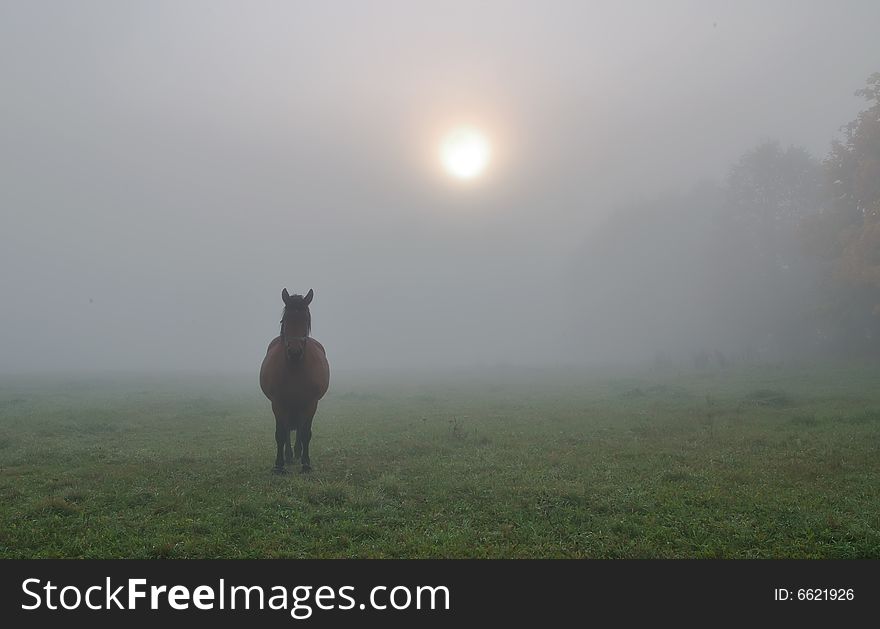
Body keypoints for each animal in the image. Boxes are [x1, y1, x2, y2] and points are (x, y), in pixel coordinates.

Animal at [262, 288, 334, 472]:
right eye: (285, 319)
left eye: (306, 320)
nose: (294, 351)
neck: (294, 368)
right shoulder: (278, 403)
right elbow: (281, 434)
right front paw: (279, 466)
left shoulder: (310, 403)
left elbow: (305, 433)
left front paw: (306, 464)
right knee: (288, 429)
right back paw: (288, 456)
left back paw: (297, 453)